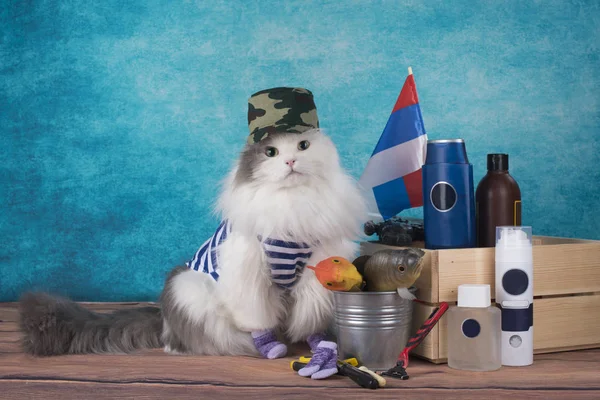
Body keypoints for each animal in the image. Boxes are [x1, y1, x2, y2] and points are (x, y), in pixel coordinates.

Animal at [18, 128, 368, 360]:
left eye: (303, 146)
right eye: (271, 153)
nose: (291, 161)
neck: (293, 205)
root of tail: (162, 319)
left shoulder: (319, 265)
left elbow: (311, 315)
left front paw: (319, 345)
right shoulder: (247, 269)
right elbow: (258, 318)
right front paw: (272, 346)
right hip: (188, 287)